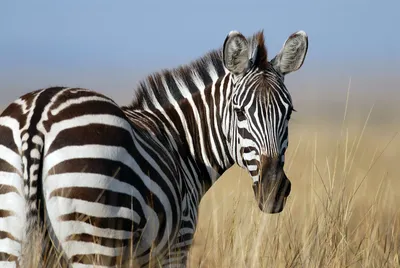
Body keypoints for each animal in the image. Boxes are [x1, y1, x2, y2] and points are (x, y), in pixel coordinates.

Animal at [0, 28, 308, 266]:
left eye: (288, 113)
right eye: (240, 112)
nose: (274, 190)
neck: (183, 144)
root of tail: (38, 116)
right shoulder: (177, 243)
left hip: (12, 238)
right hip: (95, 237)